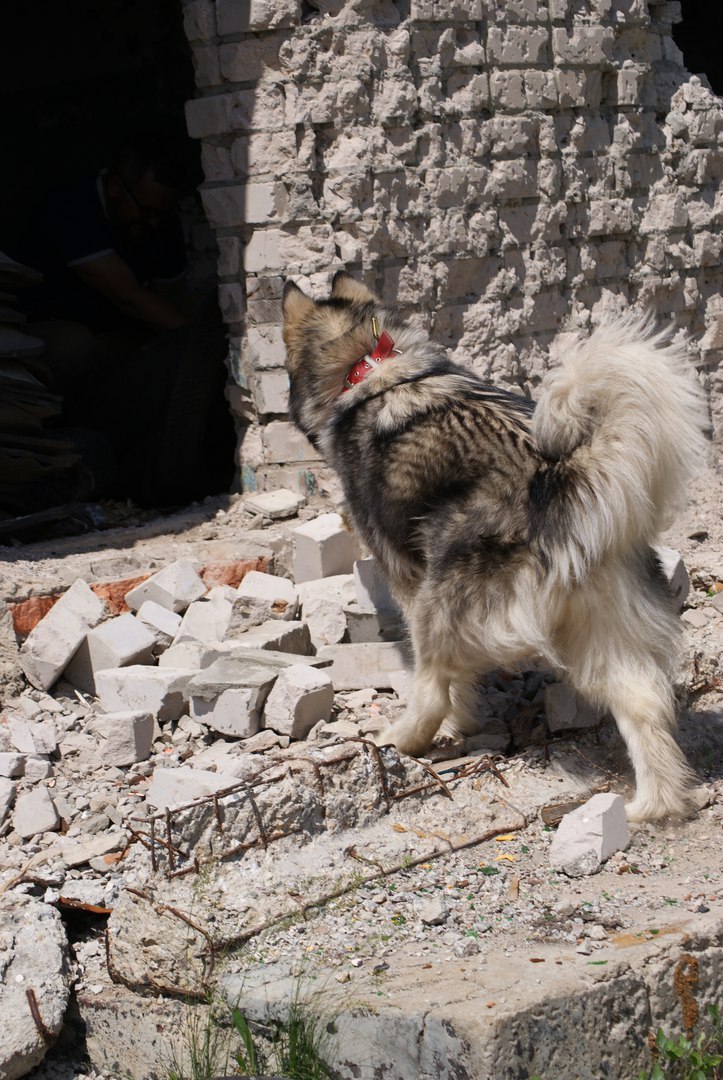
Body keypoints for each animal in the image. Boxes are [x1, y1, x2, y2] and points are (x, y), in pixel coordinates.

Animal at [280, 270, 704, 816]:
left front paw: (455, 726)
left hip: (438, 605)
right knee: (646, 707)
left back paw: (400, 740)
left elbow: (452, 688)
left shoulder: (404, 574)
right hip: (608, 631)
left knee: (431, 689)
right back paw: (653, 807)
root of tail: (565, 484)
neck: (369, 364)